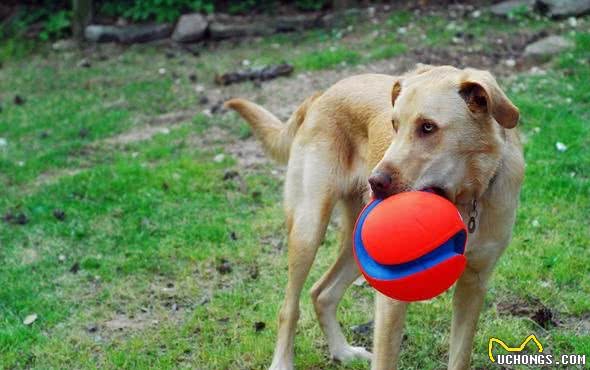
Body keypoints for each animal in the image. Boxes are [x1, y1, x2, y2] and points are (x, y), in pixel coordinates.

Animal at [227, 65, 528, 368]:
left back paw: (343, 352)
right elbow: (385, 358)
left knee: (322, 293)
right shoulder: (392, 295)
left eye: (428, 127)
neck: (465, 197)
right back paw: (283, 362)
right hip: (308, 227)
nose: (375, 182)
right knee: (289, 307)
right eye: (394, 125)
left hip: (357, 244)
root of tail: (323, 94)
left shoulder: (474, 284)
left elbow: (460, 357)